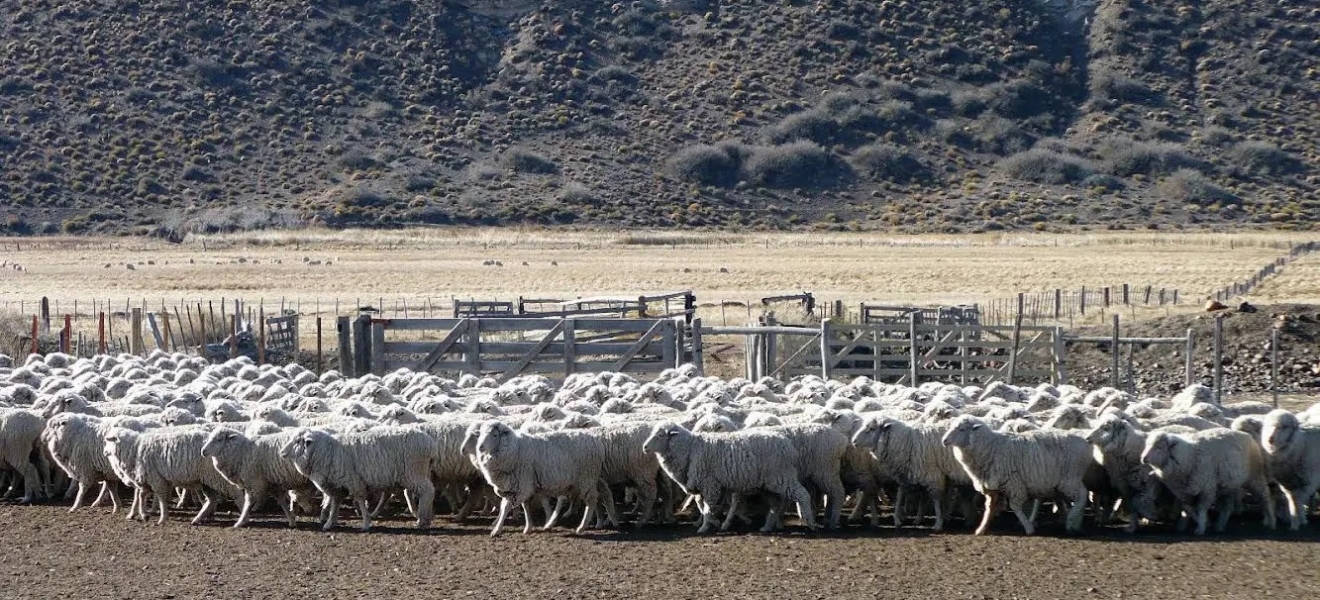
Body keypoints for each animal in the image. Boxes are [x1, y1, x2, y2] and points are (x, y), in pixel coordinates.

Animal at [939, 419, 1092, 535]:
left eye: (961, 429)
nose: (944, 440)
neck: (990, 447)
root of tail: (1084, 442)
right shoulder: (993, 488)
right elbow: (989, 509)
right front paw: (981, 529)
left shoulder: (1014, 483)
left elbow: (1015, 506)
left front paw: (1028, 528)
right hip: (1056, 483)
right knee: (1065, 499)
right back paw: (1071, 522)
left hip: (1070, 478)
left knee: (1082, 495)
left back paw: (1072, 521)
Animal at [1140, 427, 1272, 535]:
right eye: (1147, 445)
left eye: (1159, 447)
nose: (1143, 458)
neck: (1189, 456)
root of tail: (1247, 435)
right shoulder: (1184, 492)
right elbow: (1187, 508)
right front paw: (1189, 523)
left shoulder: (1207, 489)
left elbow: (1201, 508)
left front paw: (1201, 527)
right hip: (1230, 486)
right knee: (1228, 507)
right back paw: (1220, 525)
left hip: (1255, 476)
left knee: (1265, 496)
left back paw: (1270, 520)